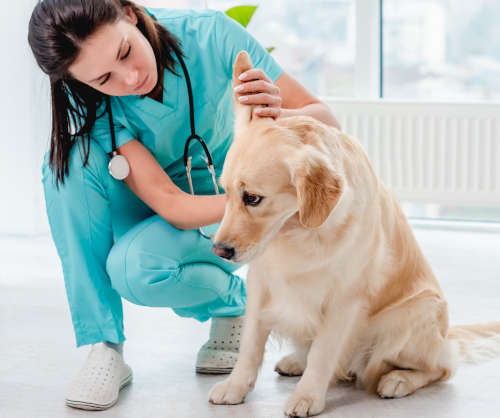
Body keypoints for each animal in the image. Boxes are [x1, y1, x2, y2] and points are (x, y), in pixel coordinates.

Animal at [209, 50, 500, 416]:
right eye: (225, 192)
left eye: (253, 198)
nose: (219, 249)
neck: (301, 230)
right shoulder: (262, 282)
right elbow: (250, 345)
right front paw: (235, 387)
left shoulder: (345, 300)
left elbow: (323, 352)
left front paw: (308, 397)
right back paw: (296, 361)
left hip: (413, 315)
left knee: (441, 368)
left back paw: (397, 380)